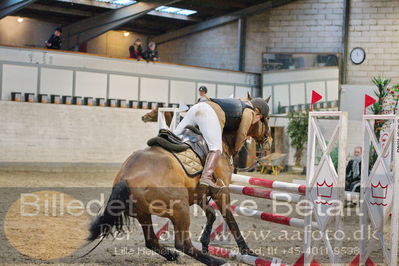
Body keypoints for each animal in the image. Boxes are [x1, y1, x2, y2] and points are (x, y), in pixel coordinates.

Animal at [89, 98, 272, 266]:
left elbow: (211, 215)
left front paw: (205, 243)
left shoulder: (199, 193)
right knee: (183, 244)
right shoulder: (220, 191)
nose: (268, 140)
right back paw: (217, 261)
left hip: (143, 213)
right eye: (267, 119)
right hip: (180, 209)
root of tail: (125, 178)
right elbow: (230, 220)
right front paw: (247, 251)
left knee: (152, 241)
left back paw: (173, 255)